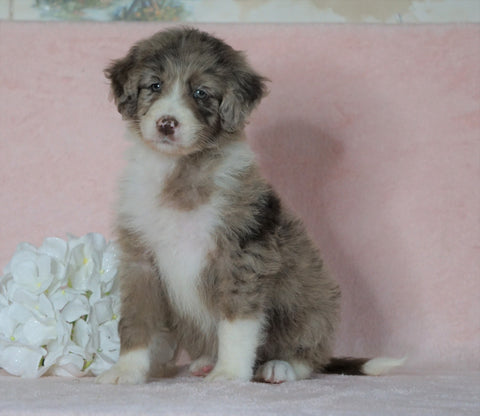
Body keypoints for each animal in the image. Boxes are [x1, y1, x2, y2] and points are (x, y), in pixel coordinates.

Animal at [96, 26, 402, 384]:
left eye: (201, 92)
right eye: (155, 85)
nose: (167, 124)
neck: (181, 171)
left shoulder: (241, 255)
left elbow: (236, 323)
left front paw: (229, 372)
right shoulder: (140, 260)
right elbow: (136, 320)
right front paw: (126, 370)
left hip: (313, 305)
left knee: (310, 356)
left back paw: (278, 367)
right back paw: (205, 361)